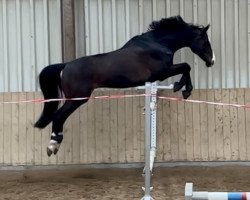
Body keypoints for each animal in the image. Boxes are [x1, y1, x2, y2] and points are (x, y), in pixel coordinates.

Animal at [34, 15, 215, 156]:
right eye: (205, 41)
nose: (211, 61)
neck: (157, 44)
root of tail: (64, 66)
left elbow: (185, 67)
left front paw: (180, 87)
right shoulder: (162, 72)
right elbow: (186, 66)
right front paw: (184, 89)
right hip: (77, 99)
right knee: (58, 116)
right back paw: (53, 145)